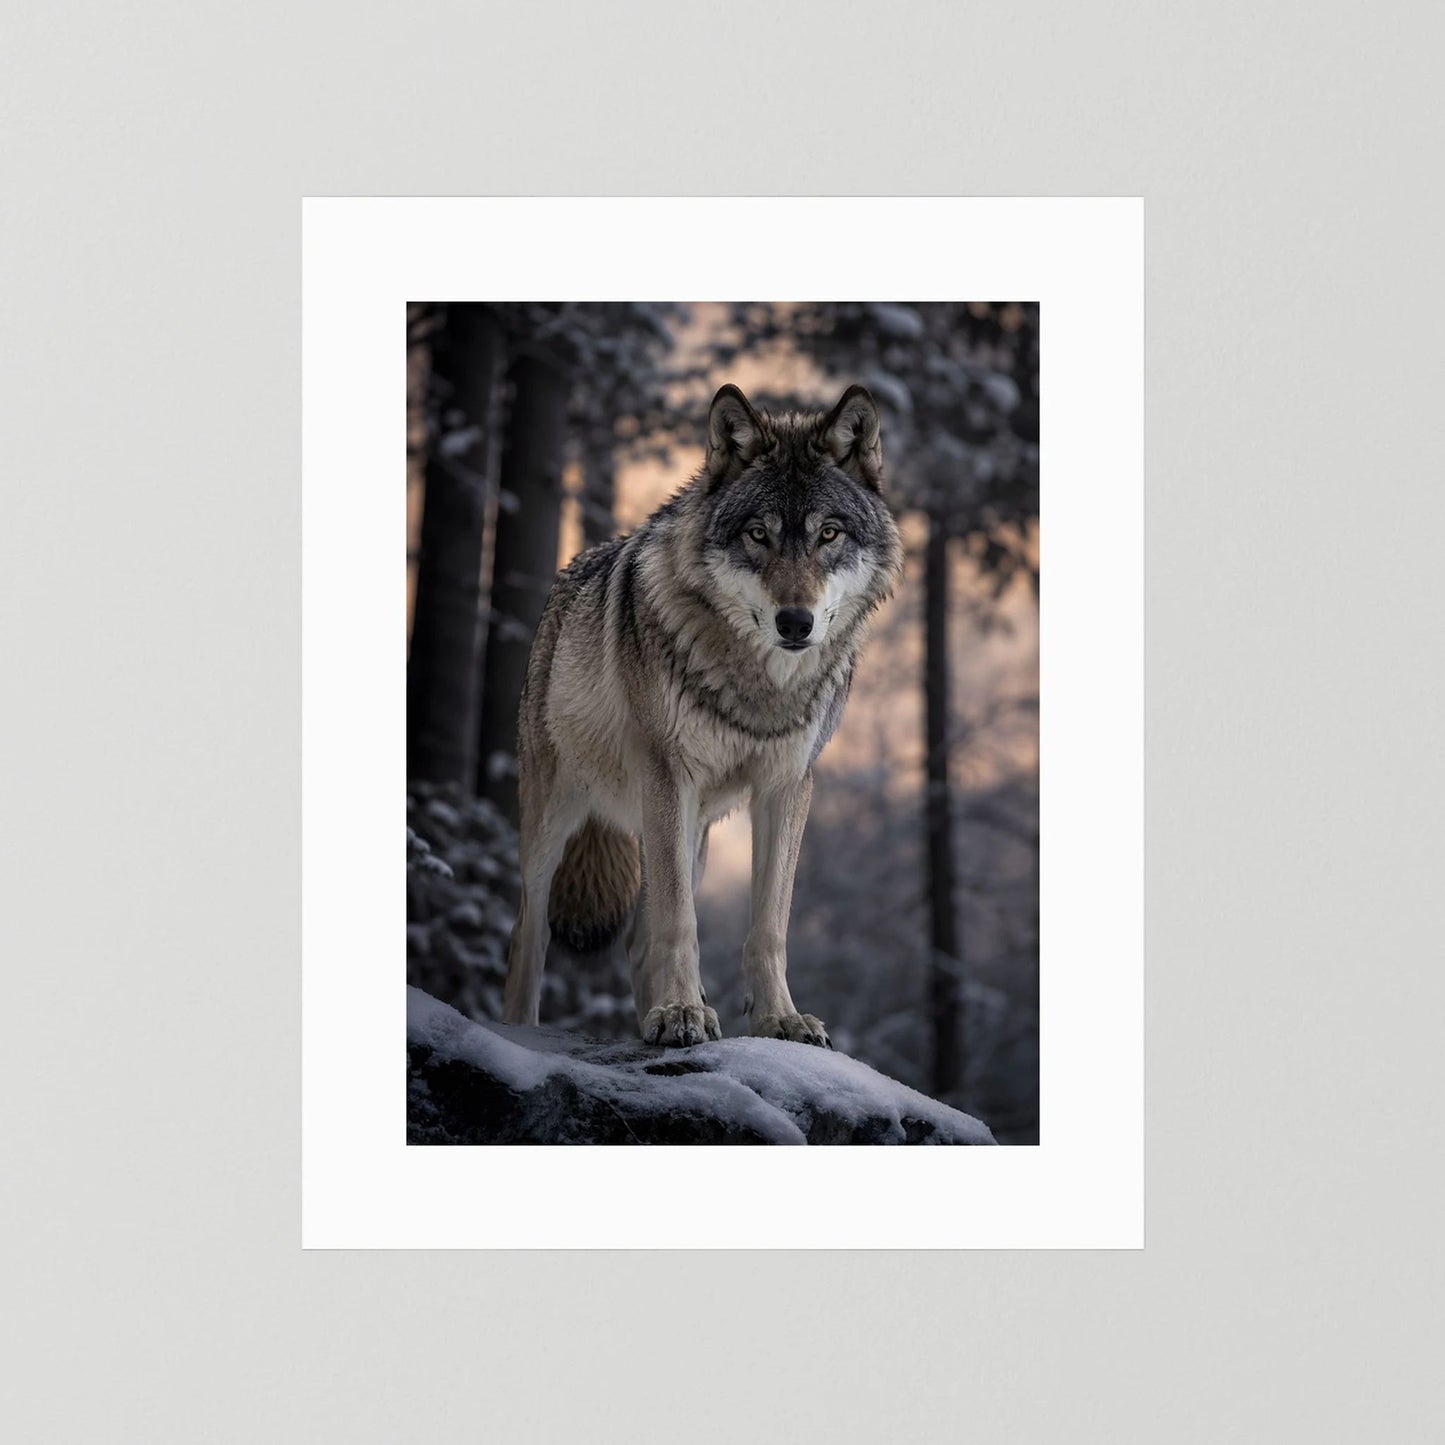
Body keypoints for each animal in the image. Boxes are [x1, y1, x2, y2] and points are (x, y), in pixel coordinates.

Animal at [500, 383, 904, 1048]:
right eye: (759, 534)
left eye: (829, 534)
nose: (796, 622)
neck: (758, 685)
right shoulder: (670, 776)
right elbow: (680, 922)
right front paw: (681, 1013)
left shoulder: (787, 786)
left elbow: (768, 927)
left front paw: (778, 1020)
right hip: (558, 820)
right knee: (528, 931)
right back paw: (523, 1031)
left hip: (693, 836)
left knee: (638, 942)